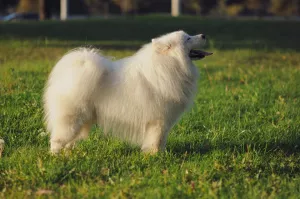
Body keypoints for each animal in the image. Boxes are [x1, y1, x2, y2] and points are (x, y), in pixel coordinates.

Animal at [44, 30, 213, 154]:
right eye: (188, 38)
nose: (204, 35)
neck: (169, 65)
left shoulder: (163, 122)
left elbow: (161, 140)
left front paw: (160, 154)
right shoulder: (158, 120)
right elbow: (156, 140)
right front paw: (155, 156)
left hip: (83, 120)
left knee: (69, 141)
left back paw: (68, 154)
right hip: (71, 118)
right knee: (57, 139)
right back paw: (55, 156)